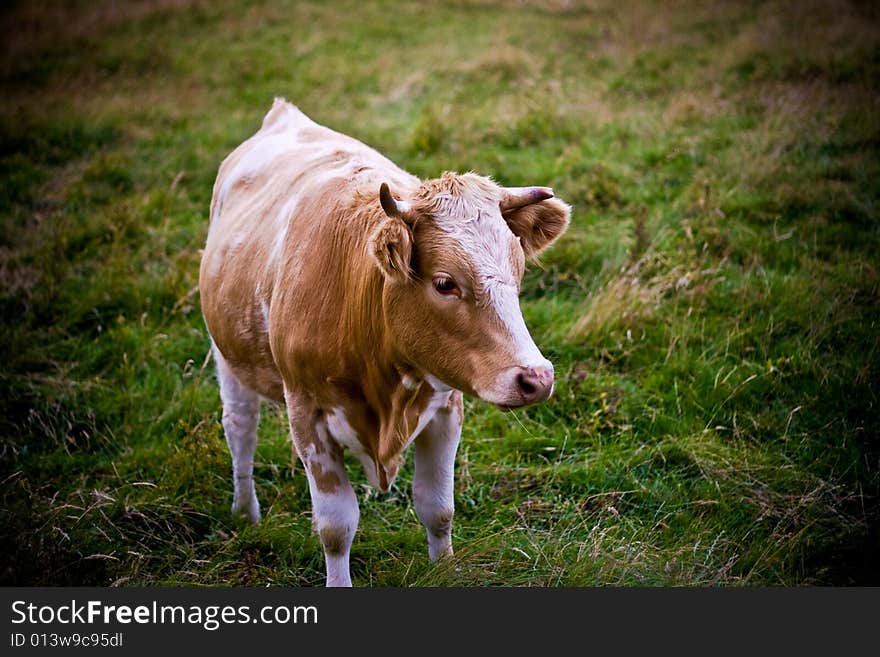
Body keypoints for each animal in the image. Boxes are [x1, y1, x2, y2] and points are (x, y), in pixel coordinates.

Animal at [199, 100, 572, 588]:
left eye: (519, 272)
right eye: (445, 283)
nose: (537, 378)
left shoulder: (446, 406)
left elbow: (438, 507)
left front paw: (444, 568)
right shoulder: (307, 415)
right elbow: (336, 526)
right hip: (228, 354)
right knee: (240, 429)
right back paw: (245, 513)